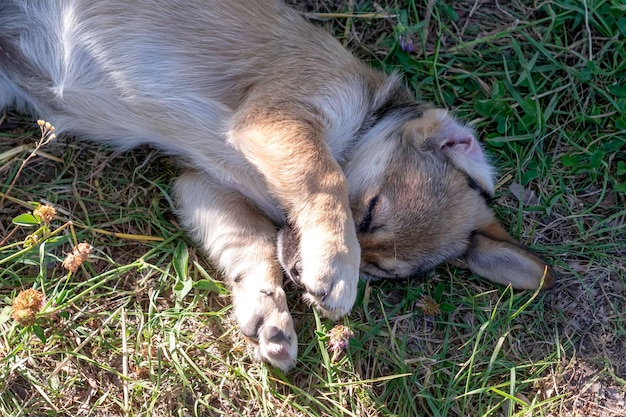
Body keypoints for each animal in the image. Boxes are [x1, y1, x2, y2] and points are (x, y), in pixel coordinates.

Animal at [0, 0, 552, 370]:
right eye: (369, 211)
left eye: (381, 274)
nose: (303, 278)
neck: (359, 124)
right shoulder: (280, 118)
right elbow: (325, 179)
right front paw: (335, 267)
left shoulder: (204, 187)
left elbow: (253, 249)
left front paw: (270, 313)